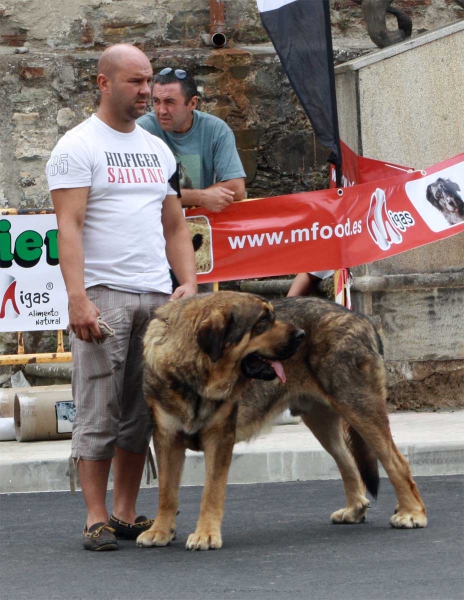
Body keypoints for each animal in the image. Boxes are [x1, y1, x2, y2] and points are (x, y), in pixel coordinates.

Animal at [136, 292, 426, 552]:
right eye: (263, 321)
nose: (301, 335)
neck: (194, 373)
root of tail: (362, 318)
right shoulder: (166, 438)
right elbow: (167, 492)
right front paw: (160, 531)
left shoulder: (219, 439)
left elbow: (211, 493)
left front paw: (205, 534)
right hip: (322, 422)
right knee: (348, 462)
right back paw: (355, 509)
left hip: (360, 409)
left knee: (396, 462)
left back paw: (412, 512)